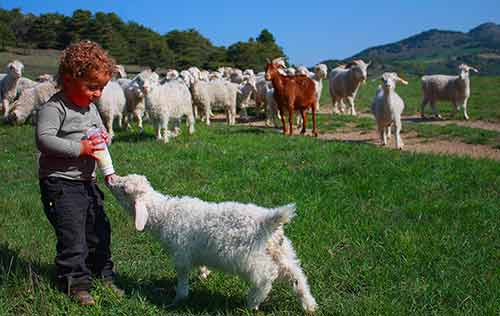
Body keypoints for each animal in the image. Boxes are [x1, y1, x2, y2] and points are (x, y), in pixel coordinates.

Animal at [106, 174, 318, 312]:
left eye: (124, 189)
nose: (110, 180)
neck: (165, 214)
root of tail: (268, 221)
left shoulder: (181, 253)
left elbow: (182, 276)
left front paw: (179, 297)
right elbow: (200, 265)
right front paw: (203, 274)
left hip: (251, 259)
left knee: (266, 278)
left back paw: (252, 302)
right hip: (282, 252)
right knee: (297, 277)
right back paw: (309, 306)